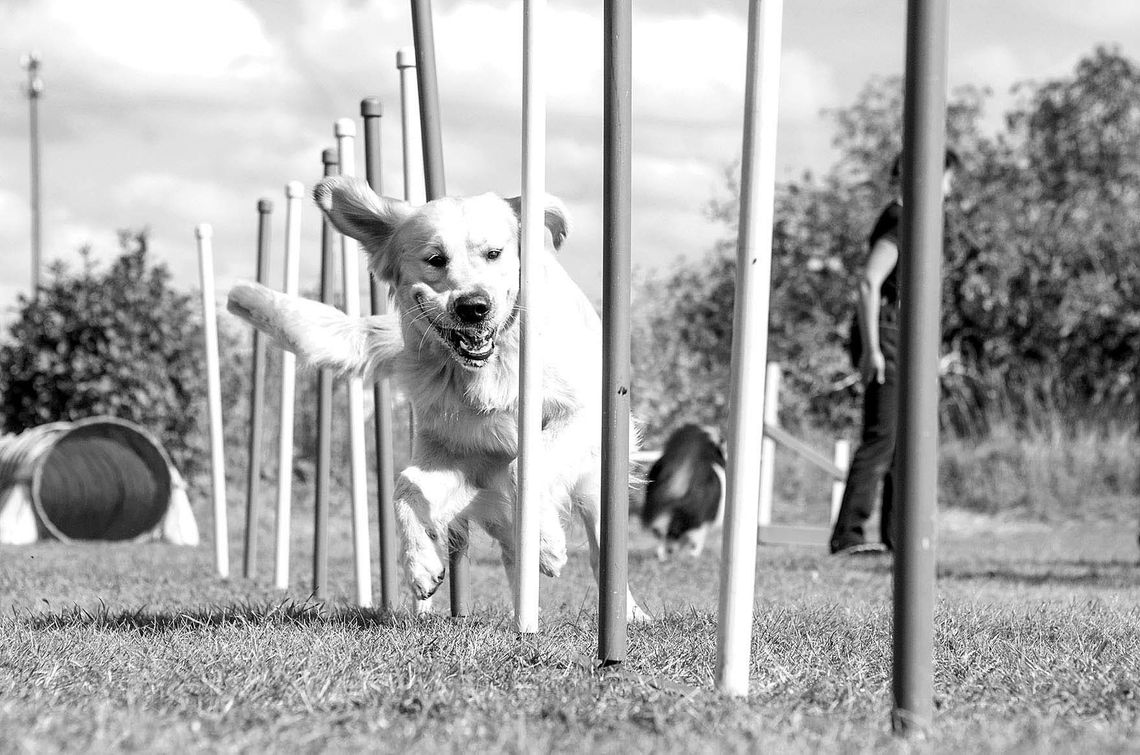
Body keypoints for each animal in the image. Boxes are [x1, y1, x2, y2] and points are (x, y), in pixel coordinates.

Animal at [226, 175, 647, 620]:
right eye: (435, 259)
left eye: (494, 254)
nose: (473, 307)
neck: (489, 370)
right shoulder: (463, 458)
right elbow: (405, 487)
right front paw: (421, 564)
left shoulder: (585, 415)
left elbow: (525, 467)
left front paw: (546, 542)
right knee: (511, 553)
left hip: (598, 483)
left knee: (601, 551)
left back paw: (629, 614)